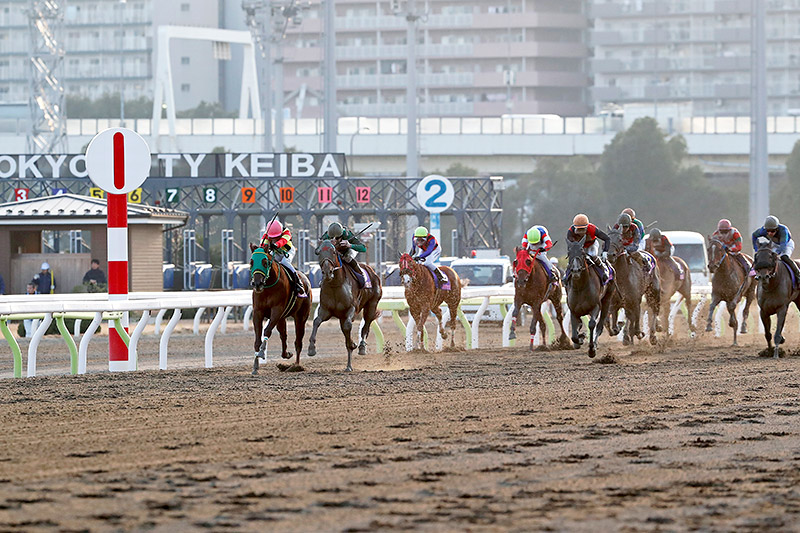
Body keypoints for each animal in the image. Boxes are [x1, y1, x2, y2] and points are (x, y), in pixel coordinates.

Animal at [250, 242, 312, 374]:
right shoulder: (258, 312)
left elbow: (267, 331)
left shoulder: (277, 310)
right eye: (251, 262)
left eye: (265, 261)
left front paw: (262, 352)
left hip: (301, 317)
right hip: (282, 319)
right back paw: (286, 355)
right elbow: (257, 339)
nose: (257, 284)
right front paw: (255, 366)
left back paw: (296, 366)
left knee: (298, 341)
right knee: (283, 334)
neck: (268, 288)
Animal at [308, 238, 382, 370]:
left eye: (333, 251)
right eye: (318, 252)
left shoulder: (351, 309)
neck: (335, 285)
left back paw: (361, 347)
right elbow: (316, 321)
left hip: (372, 305)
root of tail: (372, 270)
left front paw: (352, 345)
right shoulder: (325, 310)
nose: (327, 272)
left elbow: (348, 327)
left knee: (366, 325)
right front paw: (311, 348)